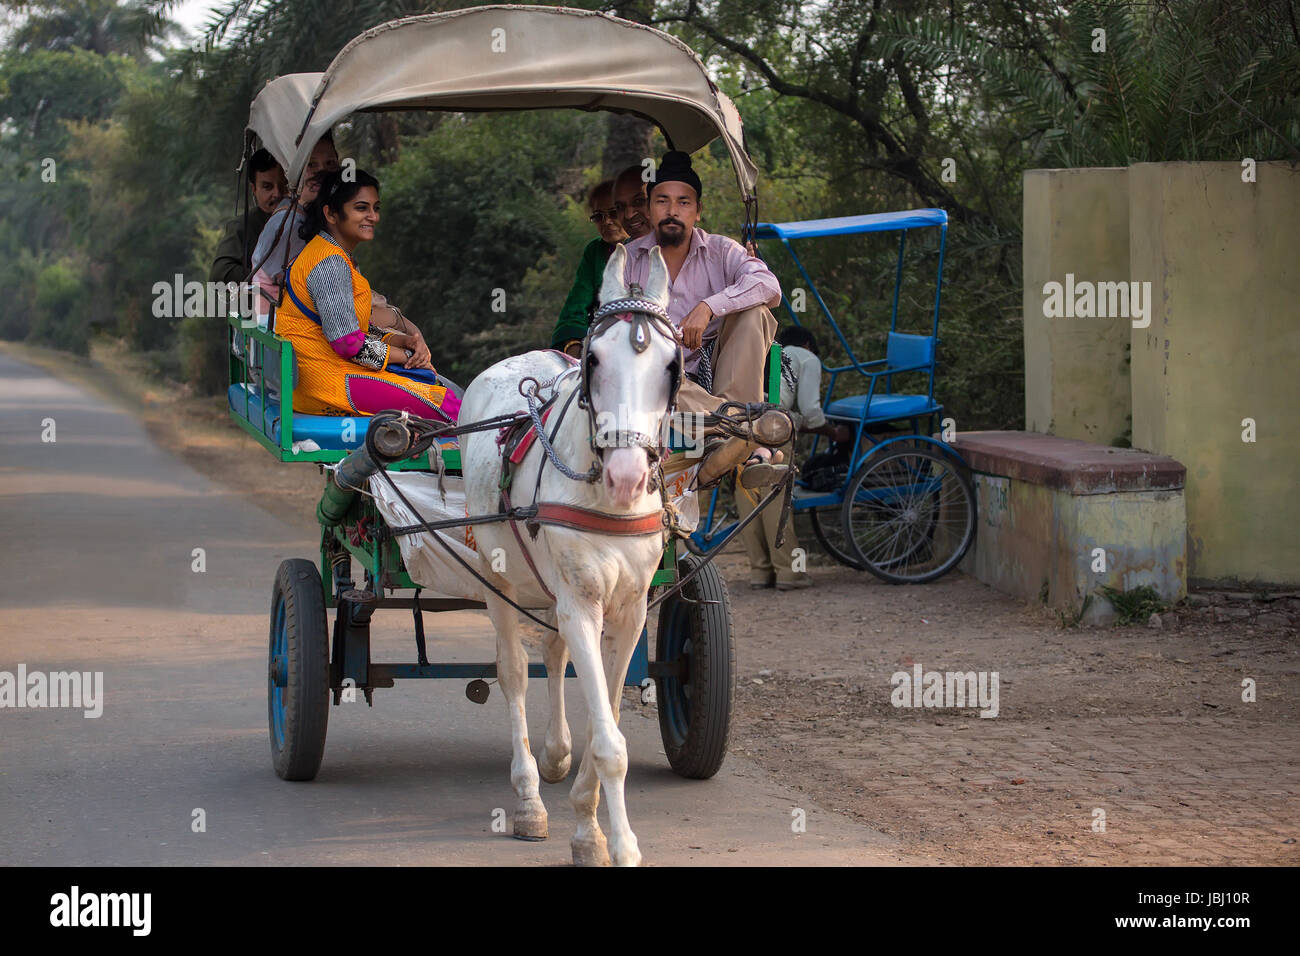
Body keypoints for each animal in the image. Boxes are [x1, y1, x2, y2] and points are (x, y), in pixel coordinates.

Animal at [460, 244, 681, 868]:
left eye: (671, 366)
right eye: (595, 359)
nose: (628, 476)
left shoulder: (629, 611)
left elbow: (604, 720)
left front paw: (587, 823)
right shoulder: (582, 605)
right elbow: (610, 744)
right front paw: (620, 843)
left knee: (553, 654)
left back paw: (554, 755)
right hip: (497, 580)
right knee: (514, 672)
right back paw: (529, 798)